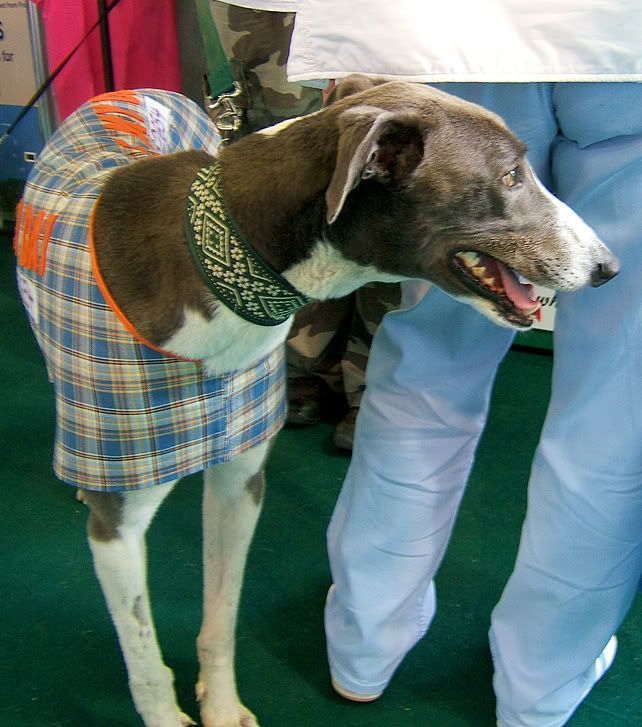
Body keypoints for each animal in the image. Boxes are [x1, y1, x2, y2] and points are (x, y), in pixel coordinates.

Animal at [13, 75, 616, 727]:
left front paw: (221, 706)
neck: (219, 264)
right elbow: (144, 656)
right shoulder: (119, 532)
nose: (609, 267)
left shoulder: (241, 483)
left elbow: (221, 614)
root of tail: (125, 89)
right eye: (509, 176)